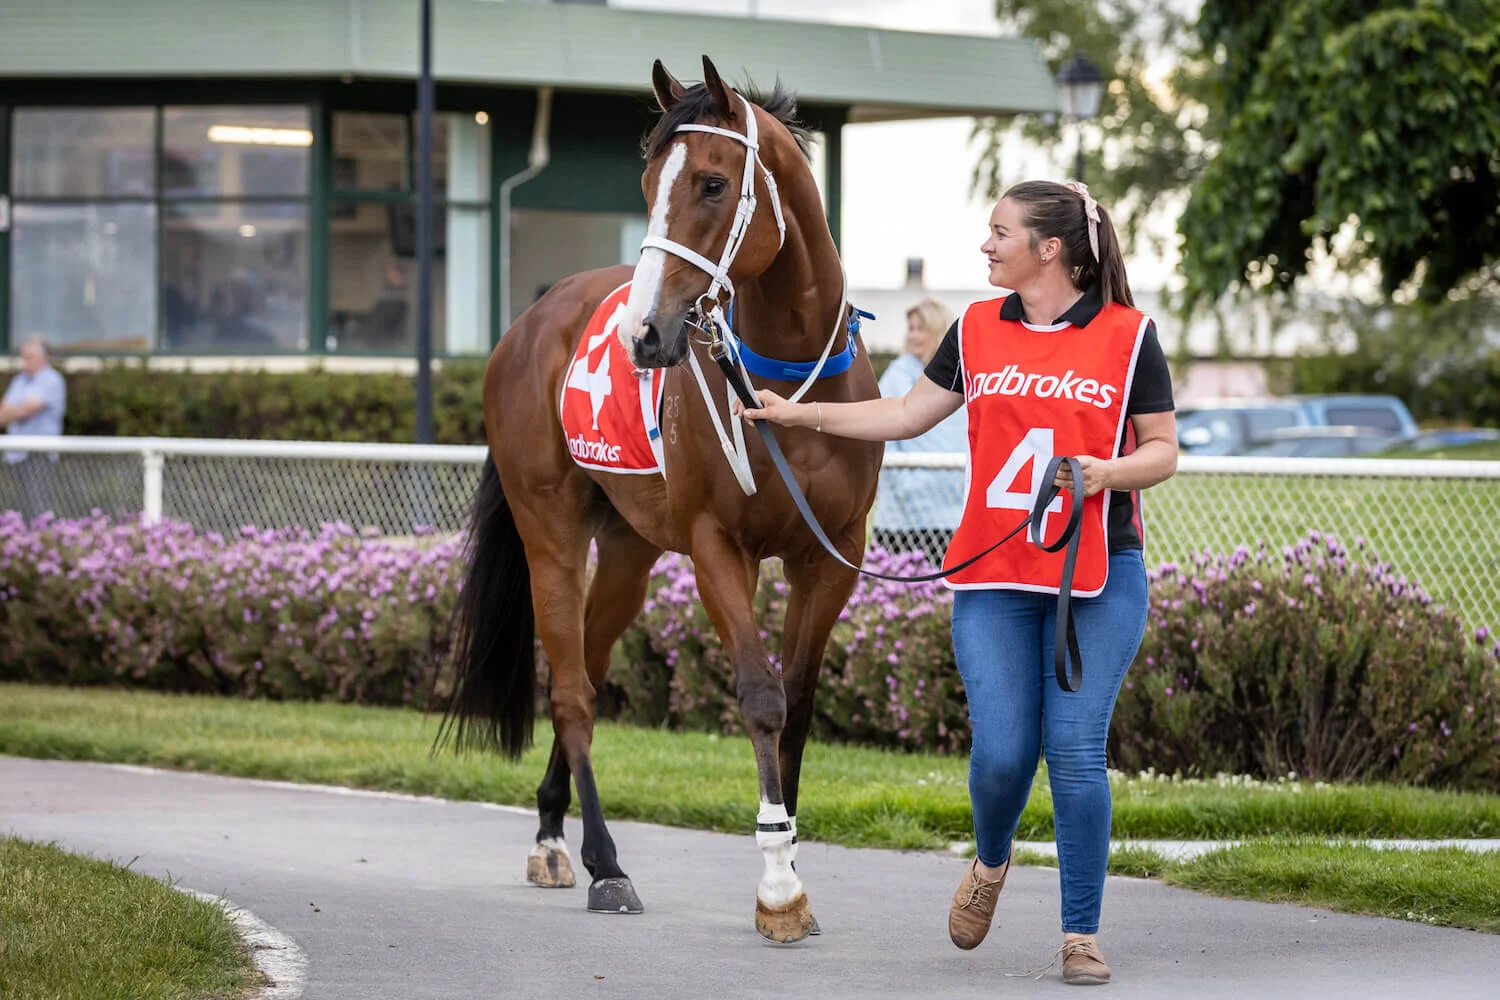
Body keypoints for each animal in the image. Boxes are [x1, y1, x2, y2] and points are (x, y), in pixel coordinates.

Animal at [442, 55, 882, 943]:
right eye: (649, 183)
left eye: (711, 184)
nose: (643, 335)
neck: (788, 385)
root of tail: (531, 319)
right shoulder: (718, 547)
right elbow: (760, 696)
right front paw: (778, 884)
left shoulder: (833, 556)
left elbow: (800, 700)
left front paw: (791, 863)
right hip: (551, 533)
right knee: (572, 690)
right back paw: (603, 862)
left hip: (629, 550)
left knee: (589, 660)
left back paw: (551, 829)